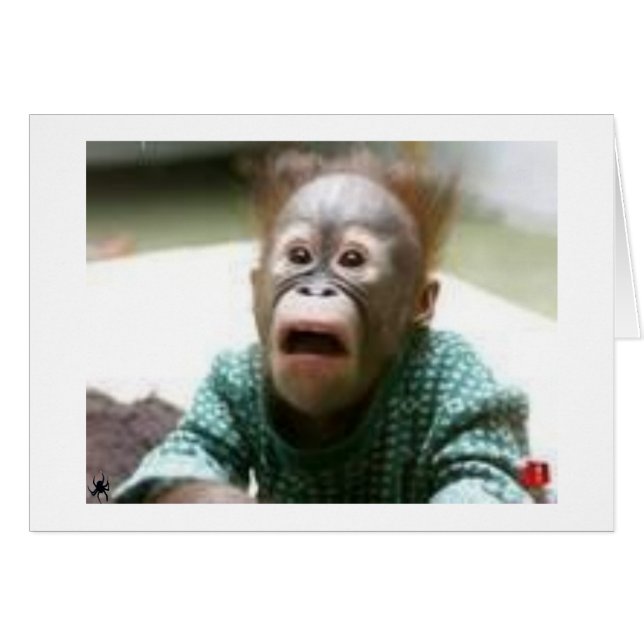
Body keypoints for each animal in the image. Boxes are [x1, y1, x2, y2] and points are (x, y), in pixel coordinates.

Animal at [114, 149, 533, 504]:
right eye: (300, 256)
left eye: (352, 260)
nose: (316, 289)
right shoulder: (226, 381)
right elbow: (184, 455)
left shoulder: (457, 375)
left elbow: (483, 472)